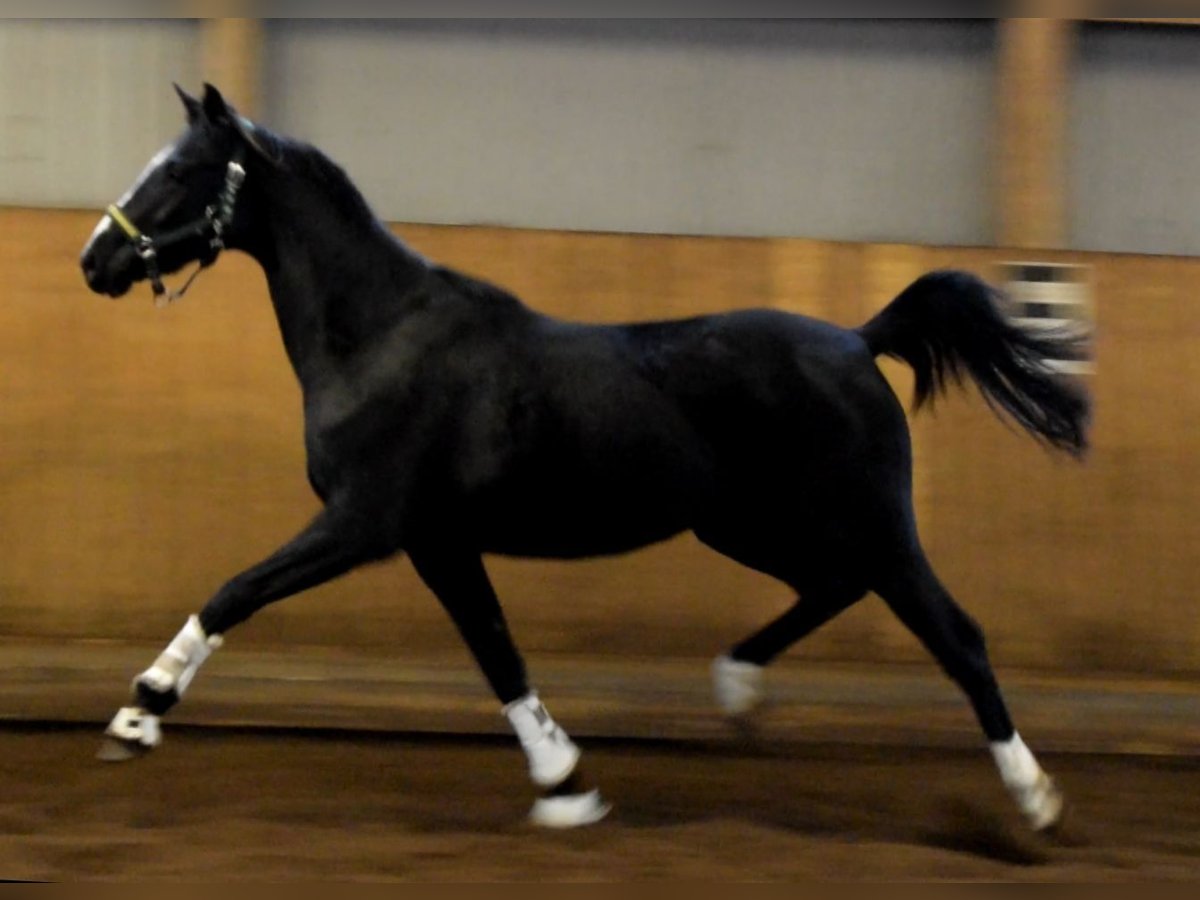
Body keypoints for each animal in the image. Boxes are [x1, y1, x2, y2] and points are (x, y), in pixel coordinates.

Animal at [77, 84, 1089, 830]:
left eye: (179, 171)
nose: (94, 262)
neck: (380, 337)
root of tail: (858, 338)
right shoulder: (439, 541)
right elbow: (498, 651)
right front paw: (566, 782)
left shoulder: (365, 521)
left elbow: (237, 590)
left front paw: (137, 714)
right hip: (748, 525)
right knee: (834, 588)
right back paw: (736, 687)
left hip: (871, 523)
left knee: (958, 636)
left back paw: (1036, 801)